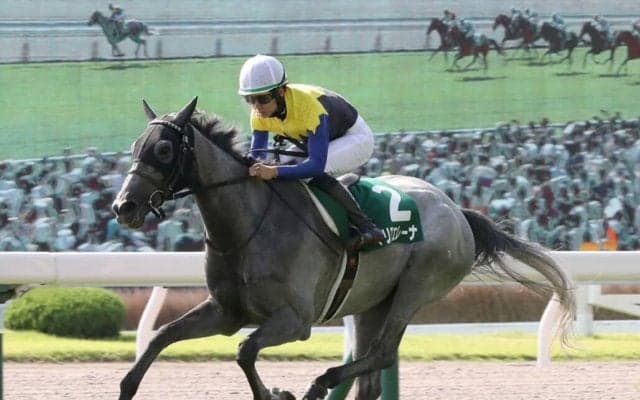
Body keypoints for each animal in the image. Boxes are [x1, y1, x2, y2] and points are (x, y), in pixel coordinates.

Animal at [112, 97, 576, 400]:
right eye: (135, 147)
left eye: (164, 149)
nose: (123, 207)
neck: (247, 227)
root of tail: (457, 210)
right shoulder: (226, 312)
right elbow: (162, 336)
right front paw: (127, 385)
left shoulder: (295, 320)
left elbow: (244, 352)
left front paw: (278, 393)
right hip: (373, 302)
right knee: (370, 370)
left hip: (416, 288)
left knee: (381, 354)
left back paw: (320, 384)